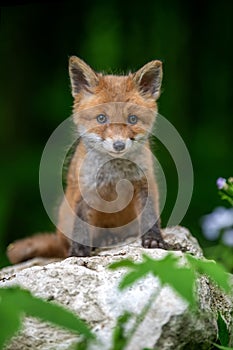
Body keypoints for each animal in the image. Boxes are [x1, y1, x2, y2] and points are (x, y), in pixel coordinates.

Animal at [6, 56, 167, 264]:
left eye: (132, 119)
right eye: (101, 118)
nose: (119, 145)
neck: (114, 174)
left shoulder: (144, 183)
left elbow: (149, 216)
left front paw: (154, 240)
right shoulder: (84, 188)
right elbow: (81, 225)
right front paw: (79, 252)